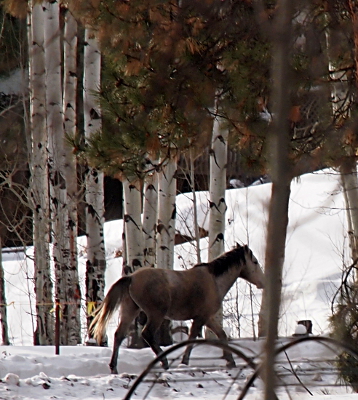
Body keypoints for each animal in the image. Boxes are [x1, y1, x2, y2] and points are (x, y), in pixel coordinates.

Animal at [89, 242, 264, 374]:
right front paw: (184, 362)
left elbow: (222, 335)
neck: (214, 281)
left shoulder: (207, 318)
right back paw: (164, 361)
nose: (262, 282)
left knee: (119, 335)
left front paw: (230, 361)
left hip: (130, 310)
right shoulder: (201, 318)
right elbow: (193, 338)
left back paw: (114, 368)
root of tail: (131, 278)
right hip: (156, 314)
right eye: (254, 261)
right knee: (147, 334)